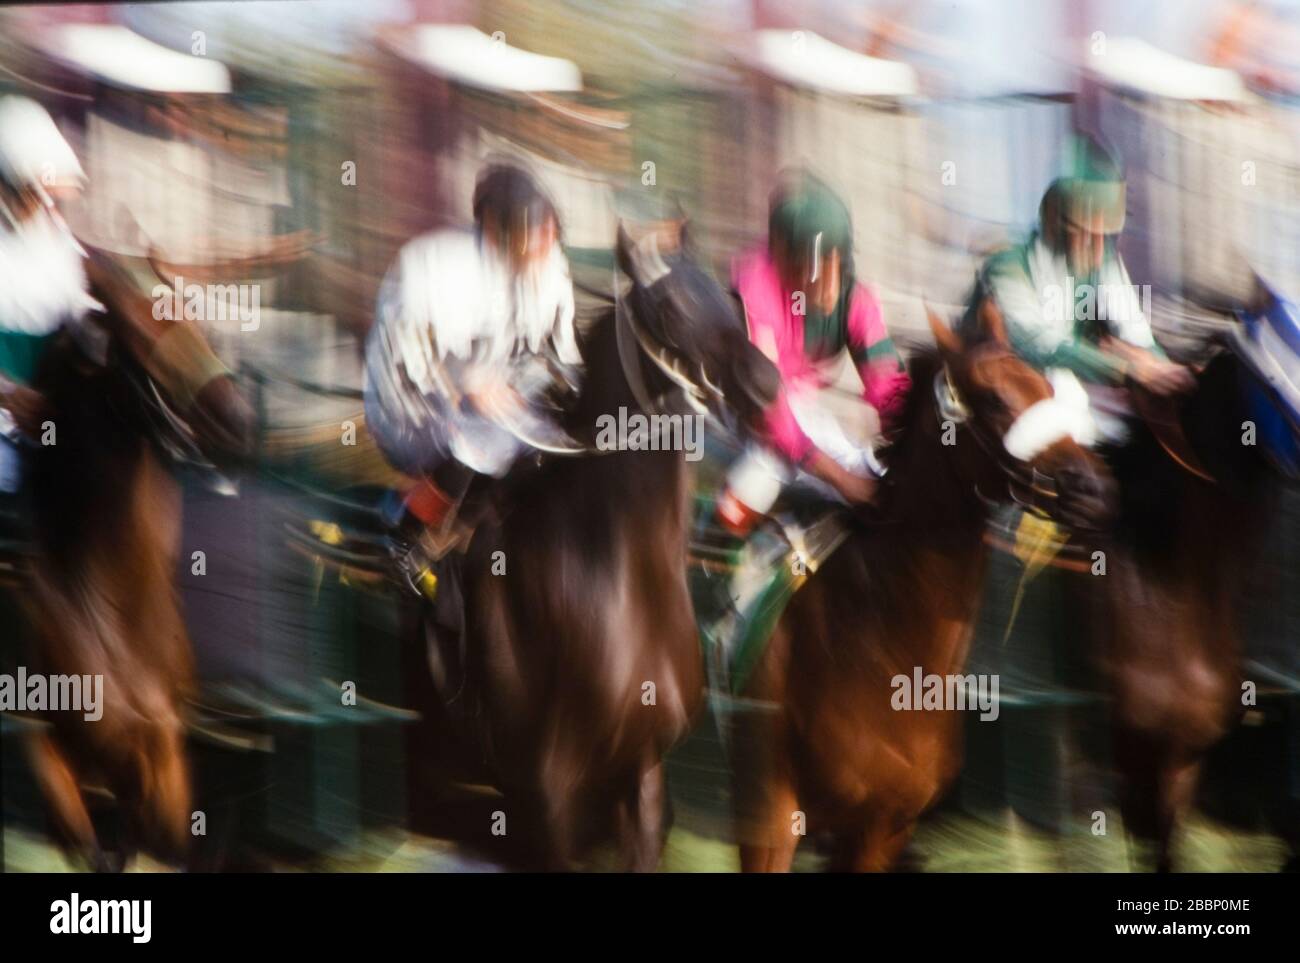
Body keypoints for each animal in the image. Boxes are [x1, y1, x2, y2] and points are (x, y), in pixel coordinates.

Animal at [17, 252, 254, 868]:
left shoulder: (165, 764)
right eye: (135, 334)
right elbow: (84, 834)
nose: (239, 419)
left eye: (191, 314)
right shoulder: (49, 756)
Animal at [405, 222, 774, 868]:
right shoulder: (547, 791)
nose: (765, 382)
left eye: (727, 300)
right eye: (670, 307)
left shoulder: (643, 773)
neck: (618, 581)